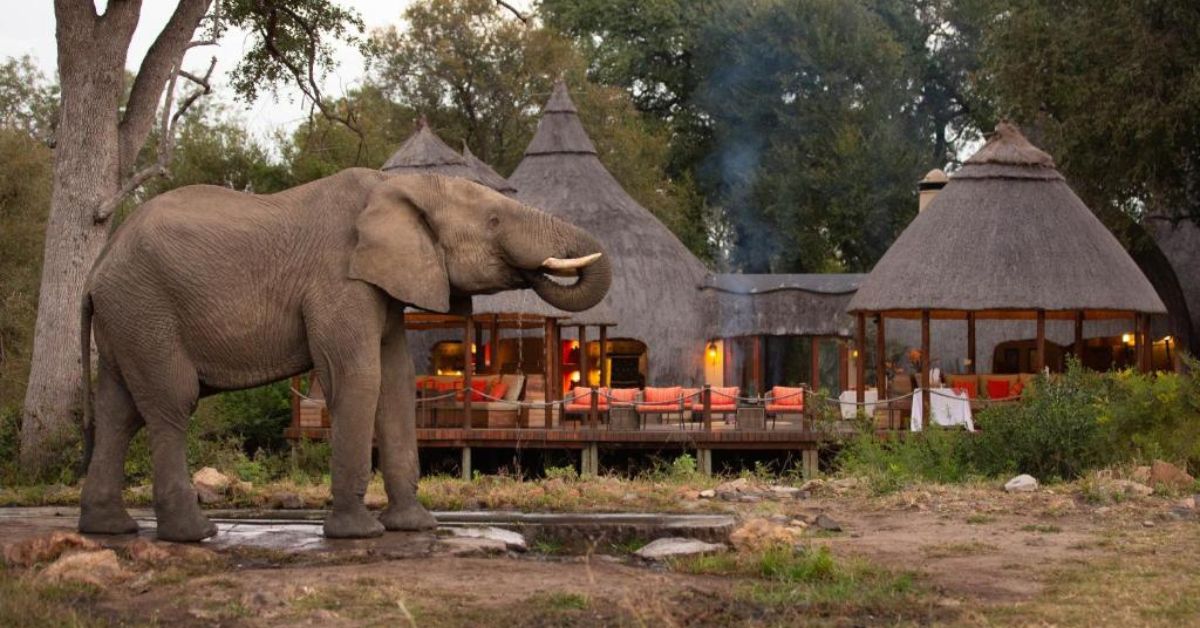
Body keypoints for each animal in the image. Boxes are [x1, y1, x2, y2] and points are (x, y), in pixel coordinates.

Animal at [77, 168, 611, 542]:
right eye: (495, 221)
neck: (398, 185)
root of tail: (98, 266)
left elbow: (396, 381)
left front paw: (416, 526)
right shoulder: (340, 282)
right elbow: (359, 377)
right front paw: (359, 534)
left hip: (127, 318)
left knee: (119, 412)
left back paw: (110, 529)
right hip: (146, 309)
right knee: (170, 403)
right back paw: (193, 534)